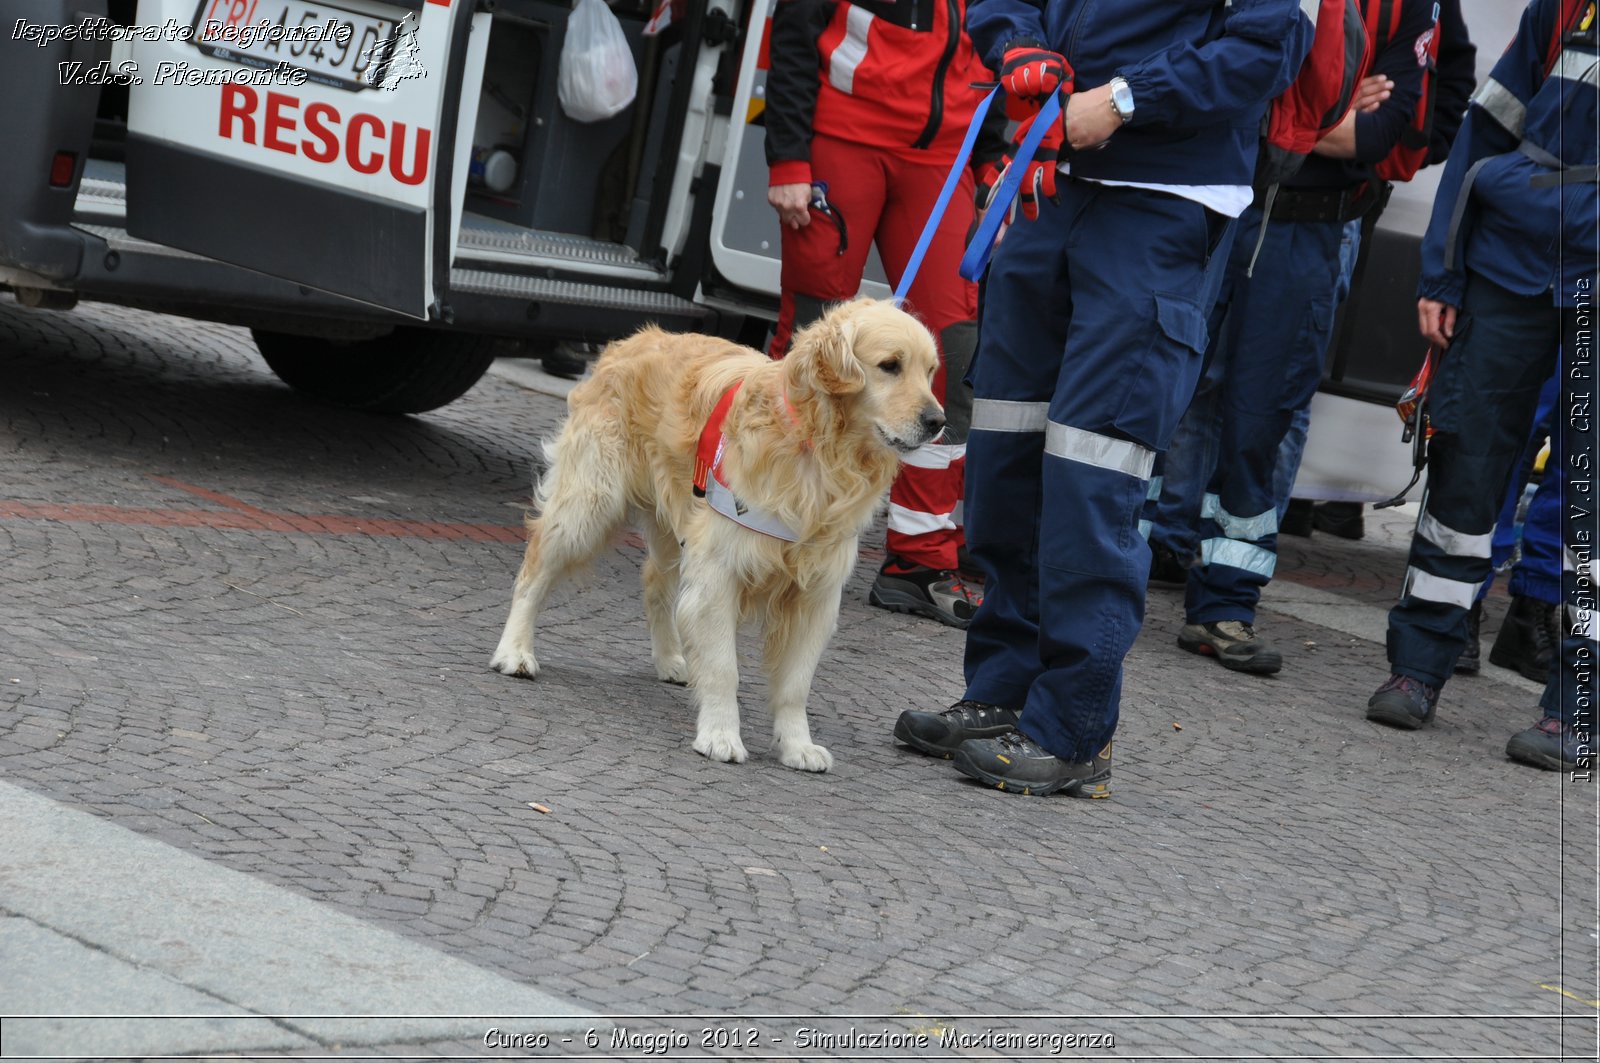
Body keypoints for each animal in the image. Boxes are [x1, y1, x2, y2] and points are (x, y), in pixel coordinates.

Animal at [486, 299, 934, 771]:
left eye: (931, 371)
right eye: (890, 365)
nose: (938, 420)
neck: (815, 447)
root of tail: (634, 339)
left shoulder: (816, 592)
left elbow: (795, 684)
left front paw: (797, 745)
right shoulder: (721, 570)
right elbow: (724, 668)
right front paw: (720, 734)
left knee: (655, 582)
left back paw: (670, 659)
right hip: (588, 503)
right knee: (534, 570)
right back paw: (514, 651)